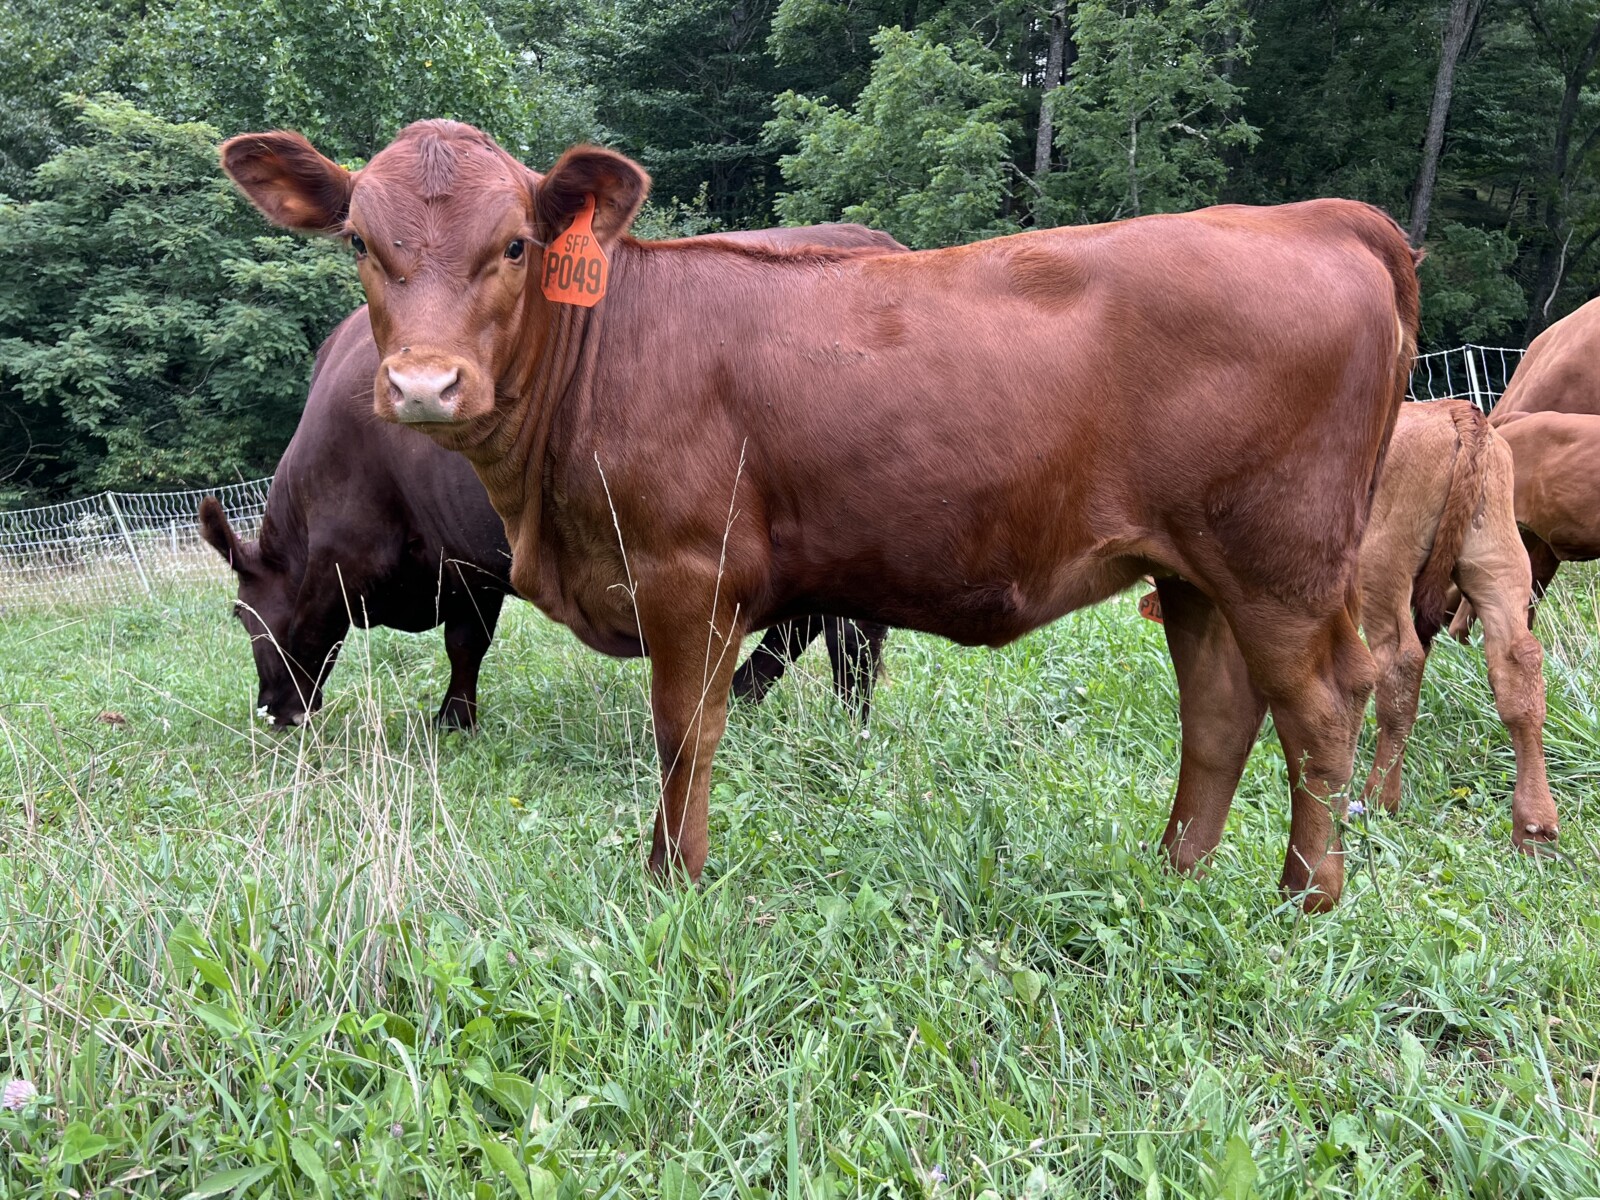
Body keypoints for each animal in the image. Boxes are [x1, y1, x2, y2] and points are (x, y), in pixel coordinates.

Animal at [220, 120, 1419, 911]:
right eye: (359, 242)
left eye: (515, 243)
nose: (424, 385)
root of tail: (1319, 219)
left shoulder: (687, 573)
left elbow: (683, 732)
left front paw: (672, 877)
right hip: (1194, 569)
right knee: (1218, 714)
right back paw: (1172, 872)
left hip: (1281, 564)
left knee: (1320, 708)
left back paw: (1303, 900)